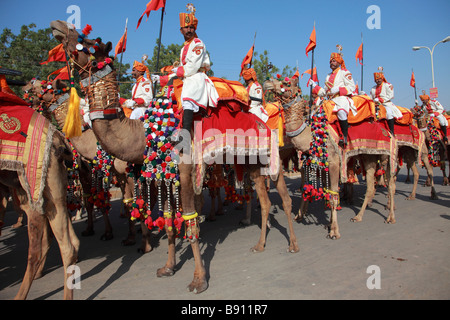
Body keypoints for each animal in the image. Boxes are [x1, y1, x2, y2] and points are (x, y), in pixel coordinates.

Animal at [51, 19, 298, 292]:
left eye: (89, 42)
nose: (58, 25)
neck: (145, 132)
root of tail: (263, 121)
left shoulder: (186, 172)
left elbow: (190, 222)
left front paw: (199, 280)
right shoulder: (165, 177)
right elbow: (169, 224)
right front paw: (168, 267)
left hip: (269, 158)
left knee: (283, 197)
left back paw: (293, 244)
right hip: (249, 162)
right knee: (264, 201)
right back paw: (260, 244)